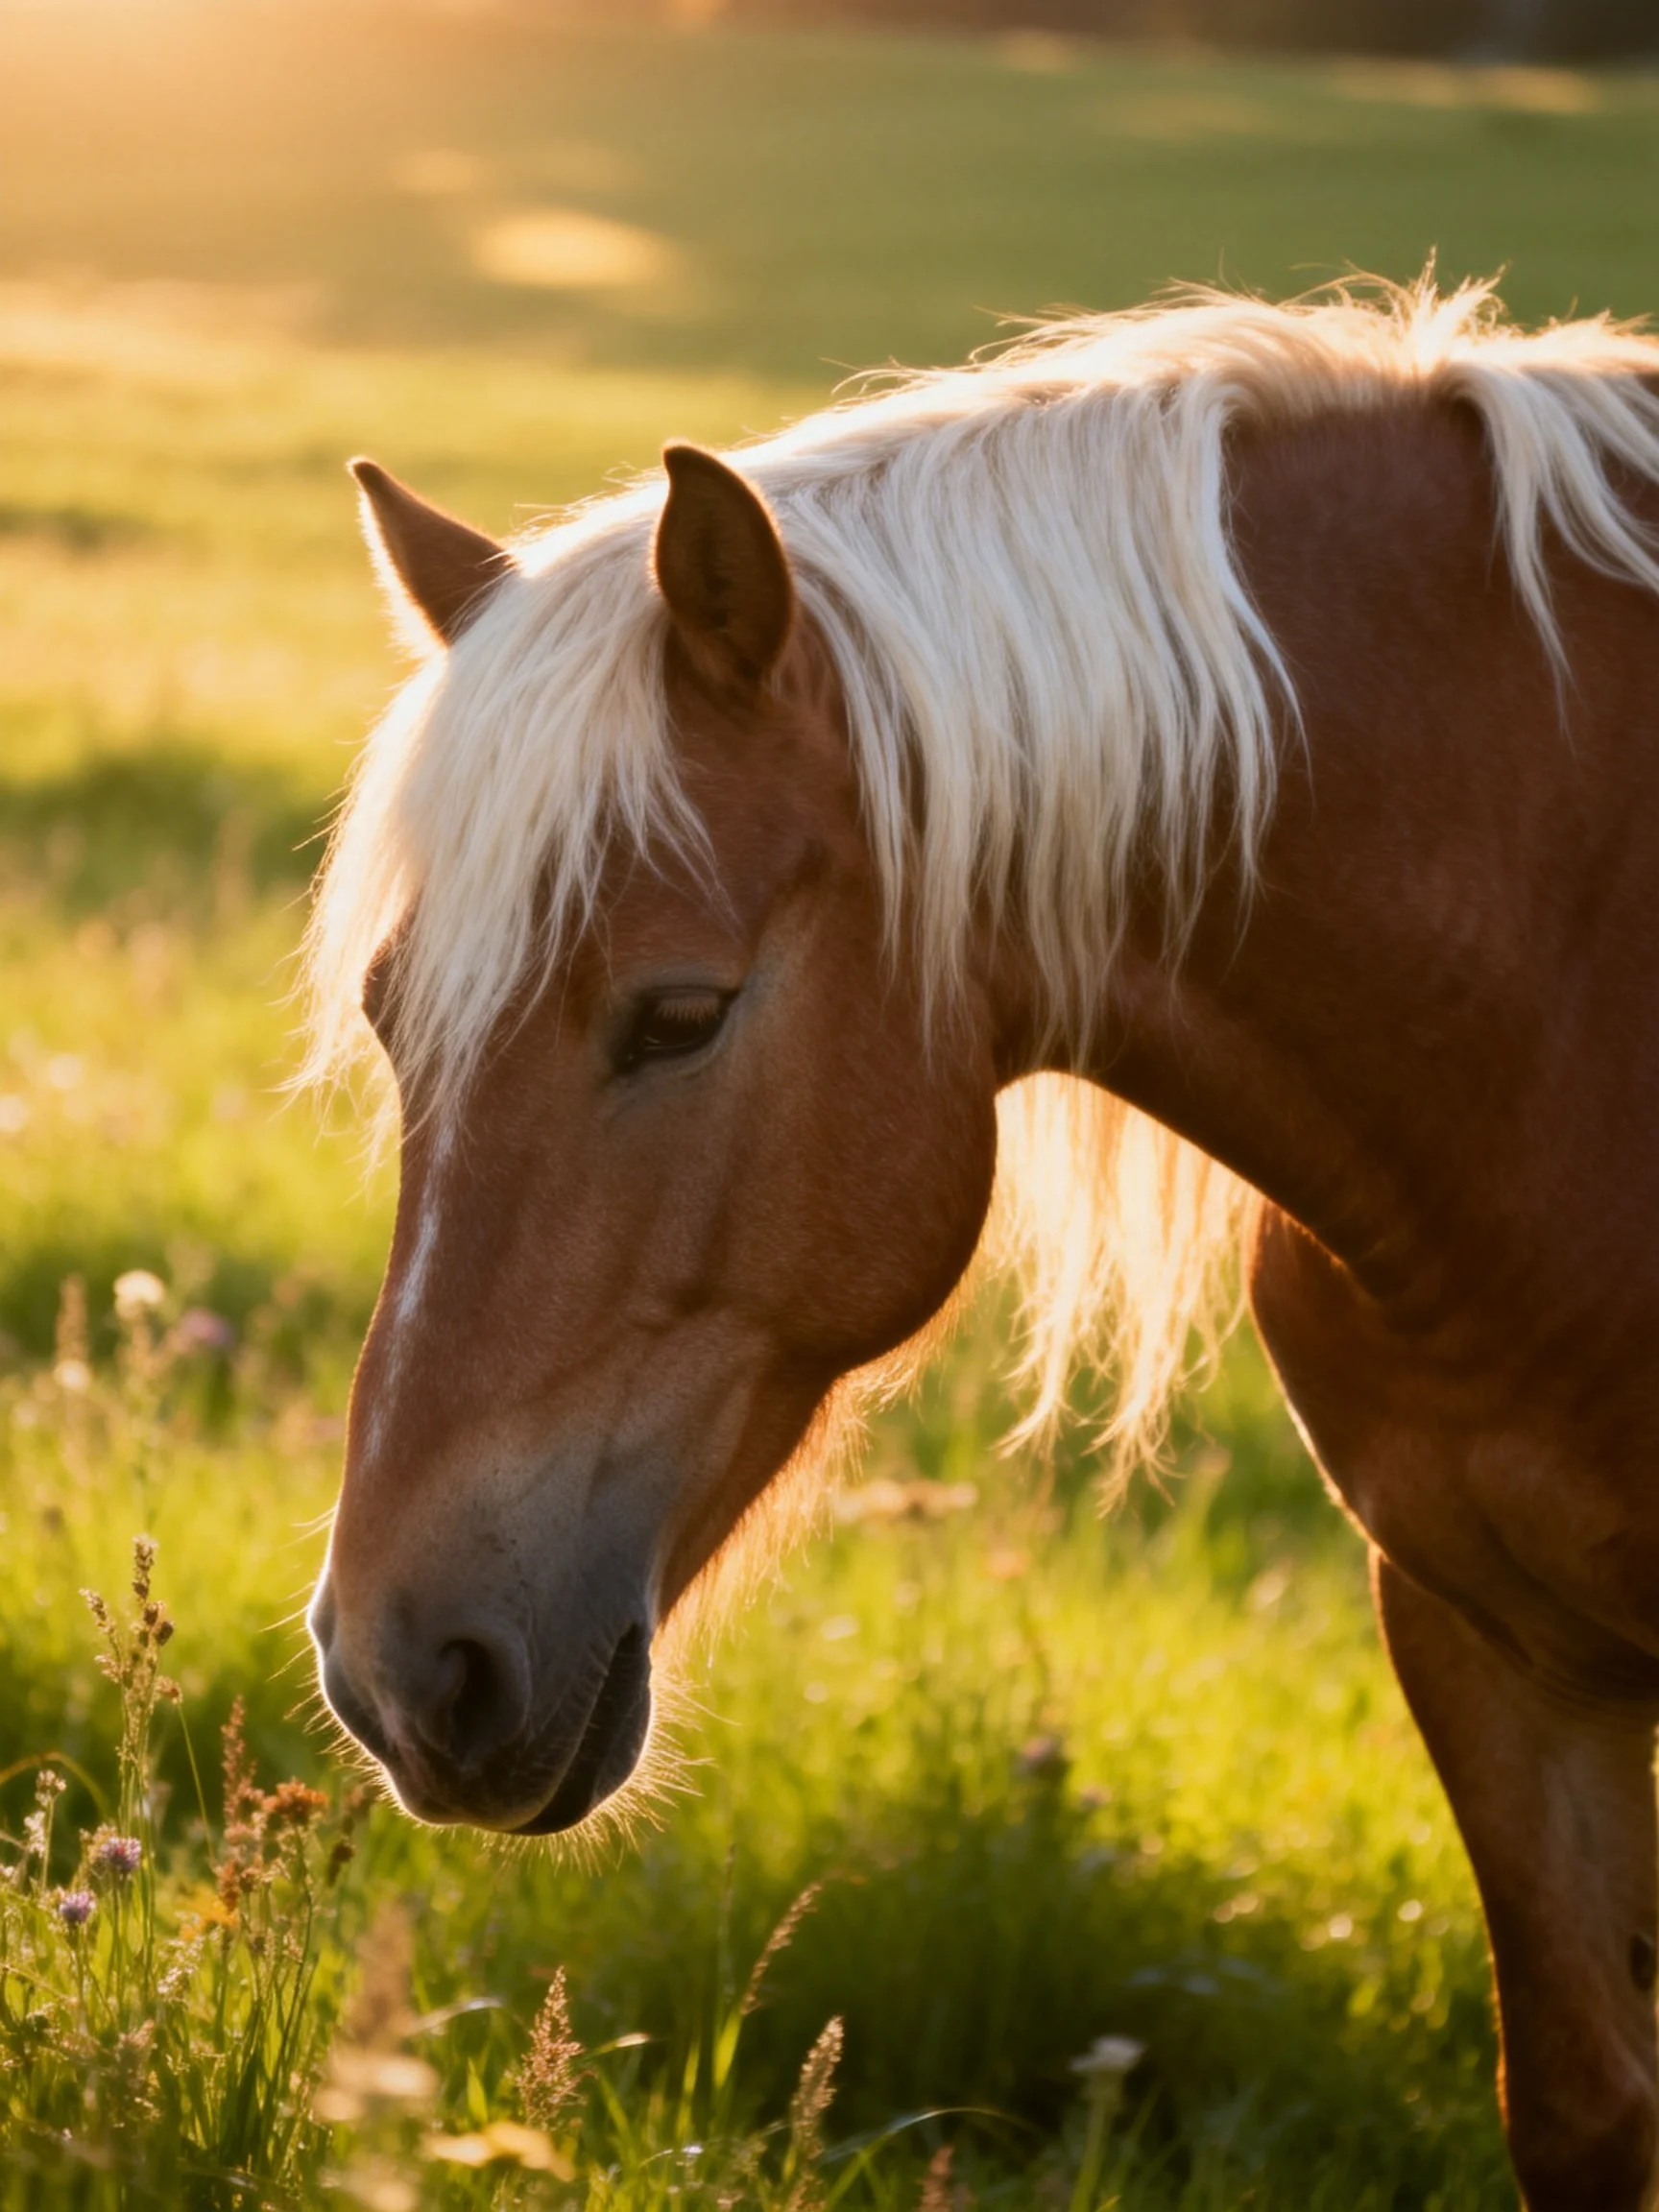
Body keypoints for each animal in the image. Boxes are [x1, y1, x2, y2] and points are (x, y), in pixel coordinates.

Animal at [305, 276, 1659, 2211]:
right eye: (392, 1022)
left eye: (680, 1014)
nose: (397, 1670)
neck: (1570, 991)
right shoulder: (1487, 1639)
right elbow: (1581, 2105)